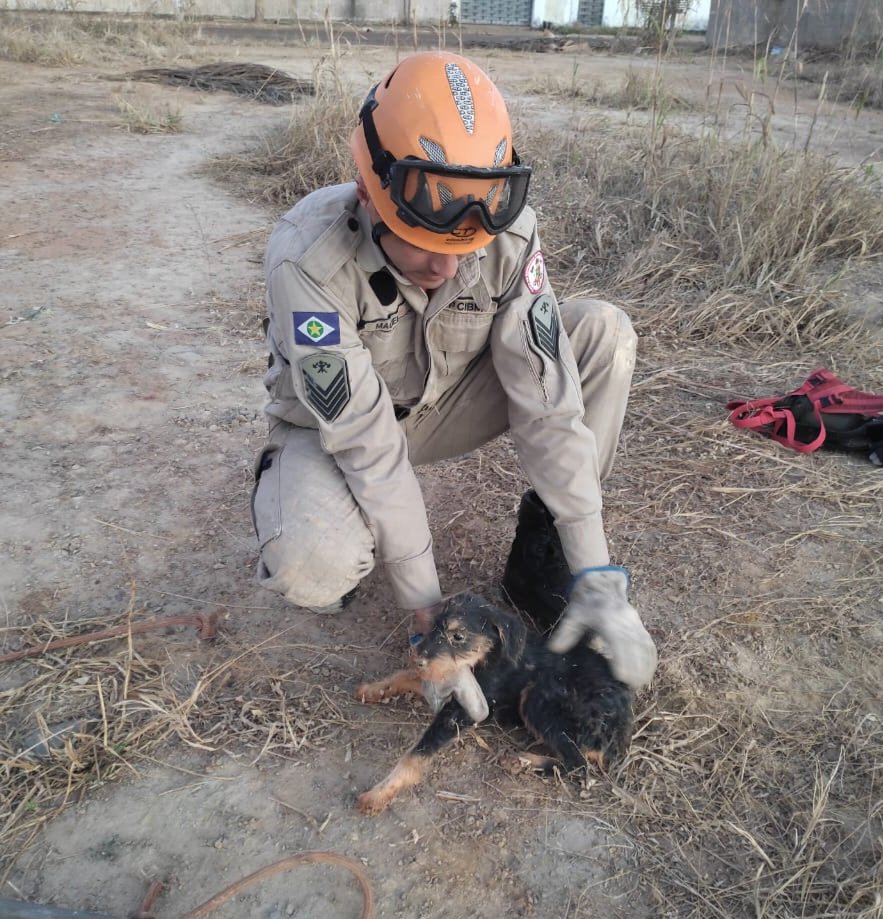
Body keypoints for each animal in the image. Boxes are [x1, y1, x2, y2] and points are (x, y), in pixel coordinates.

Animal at [356, 592, 632, 816]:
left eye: (458, 636)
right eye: (433, 628)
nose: (417, 658)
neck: (487, 657)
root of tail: (619, 728)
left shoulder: (462, 711)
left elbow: (417, 753)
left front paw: (378, 794)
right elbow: (404, 676)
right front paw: (372, 689)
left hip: (537, 698)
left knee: (579, 765)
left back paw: (523, 761)